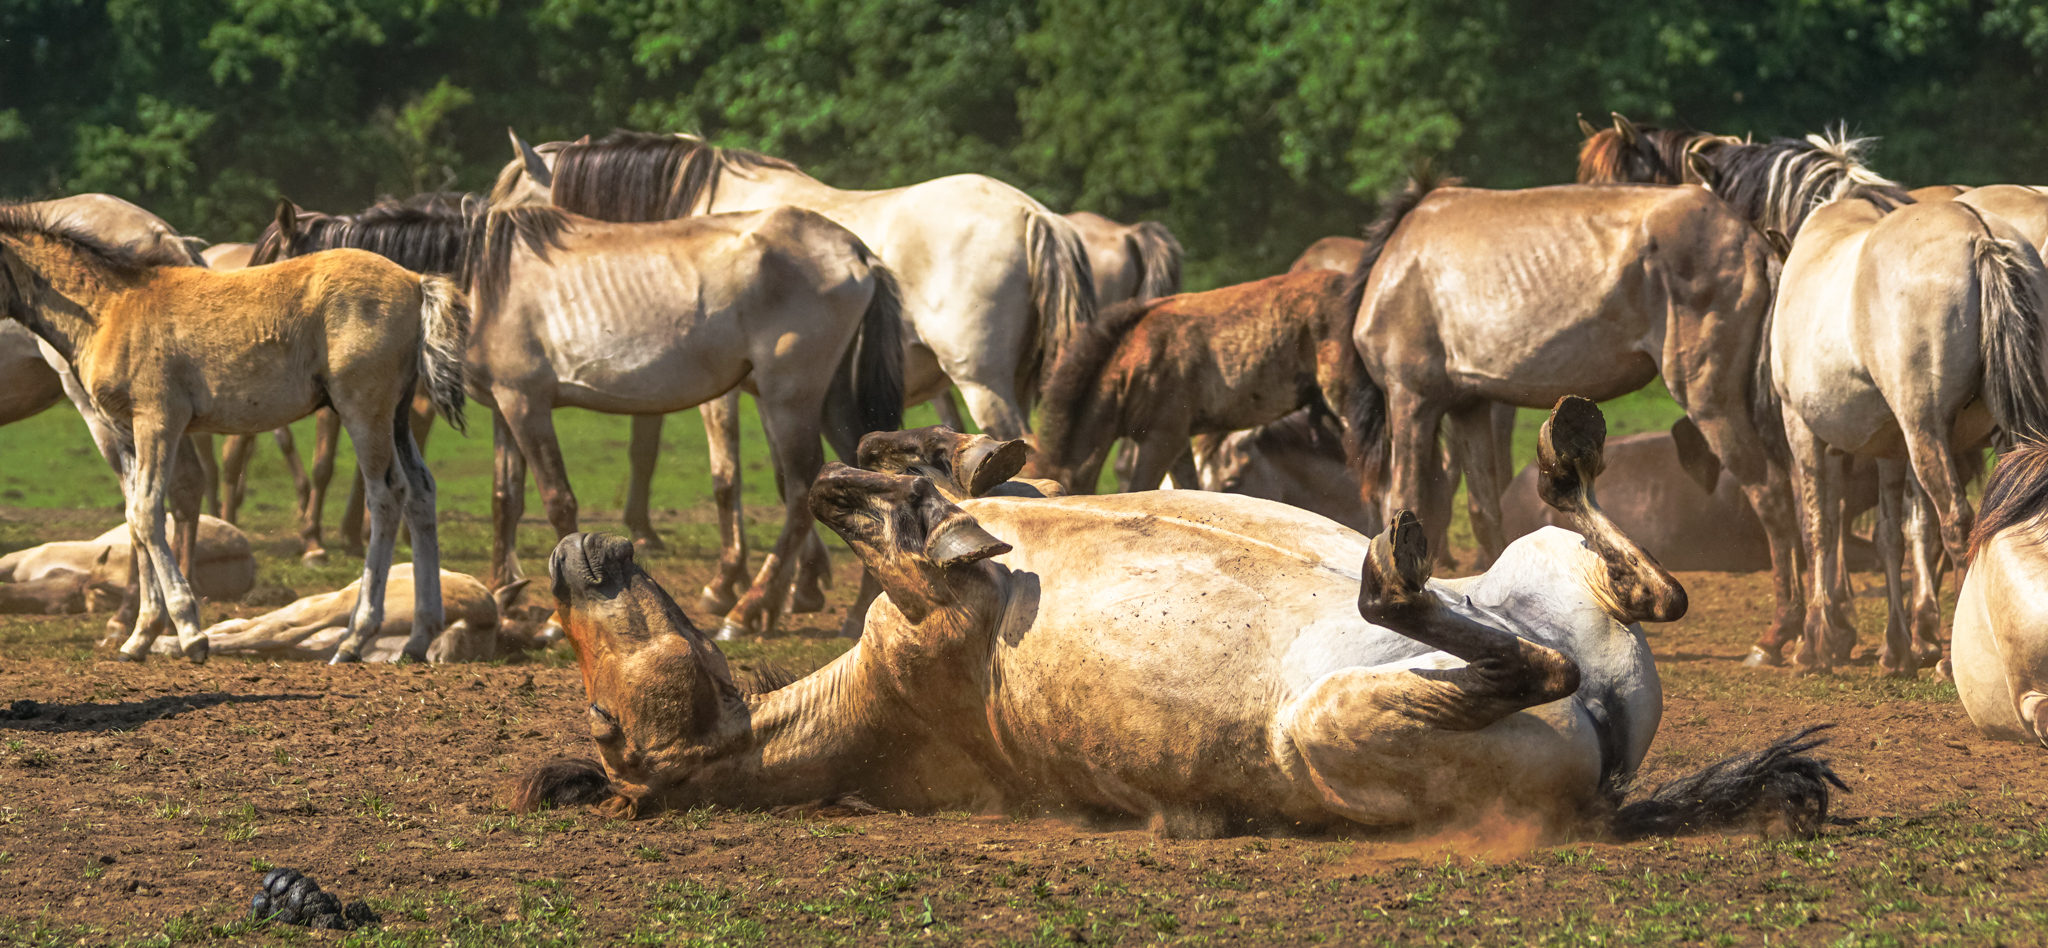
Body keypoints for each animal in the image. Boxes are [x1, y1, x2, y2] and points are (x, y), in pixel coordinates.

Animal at [0, 203, 468, 663]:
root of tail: (415, 281)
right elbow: (134, 520)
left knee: (387, 495)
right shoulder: (124, 431)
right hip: (397, 415)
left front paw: (189, 632)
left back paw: (355, 637)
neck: (110, 310)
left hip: (363, 410)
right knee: (421, 493)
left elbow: (148, 513)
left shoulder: (158, 420)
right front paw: (139, 636)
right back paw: (418, 638)